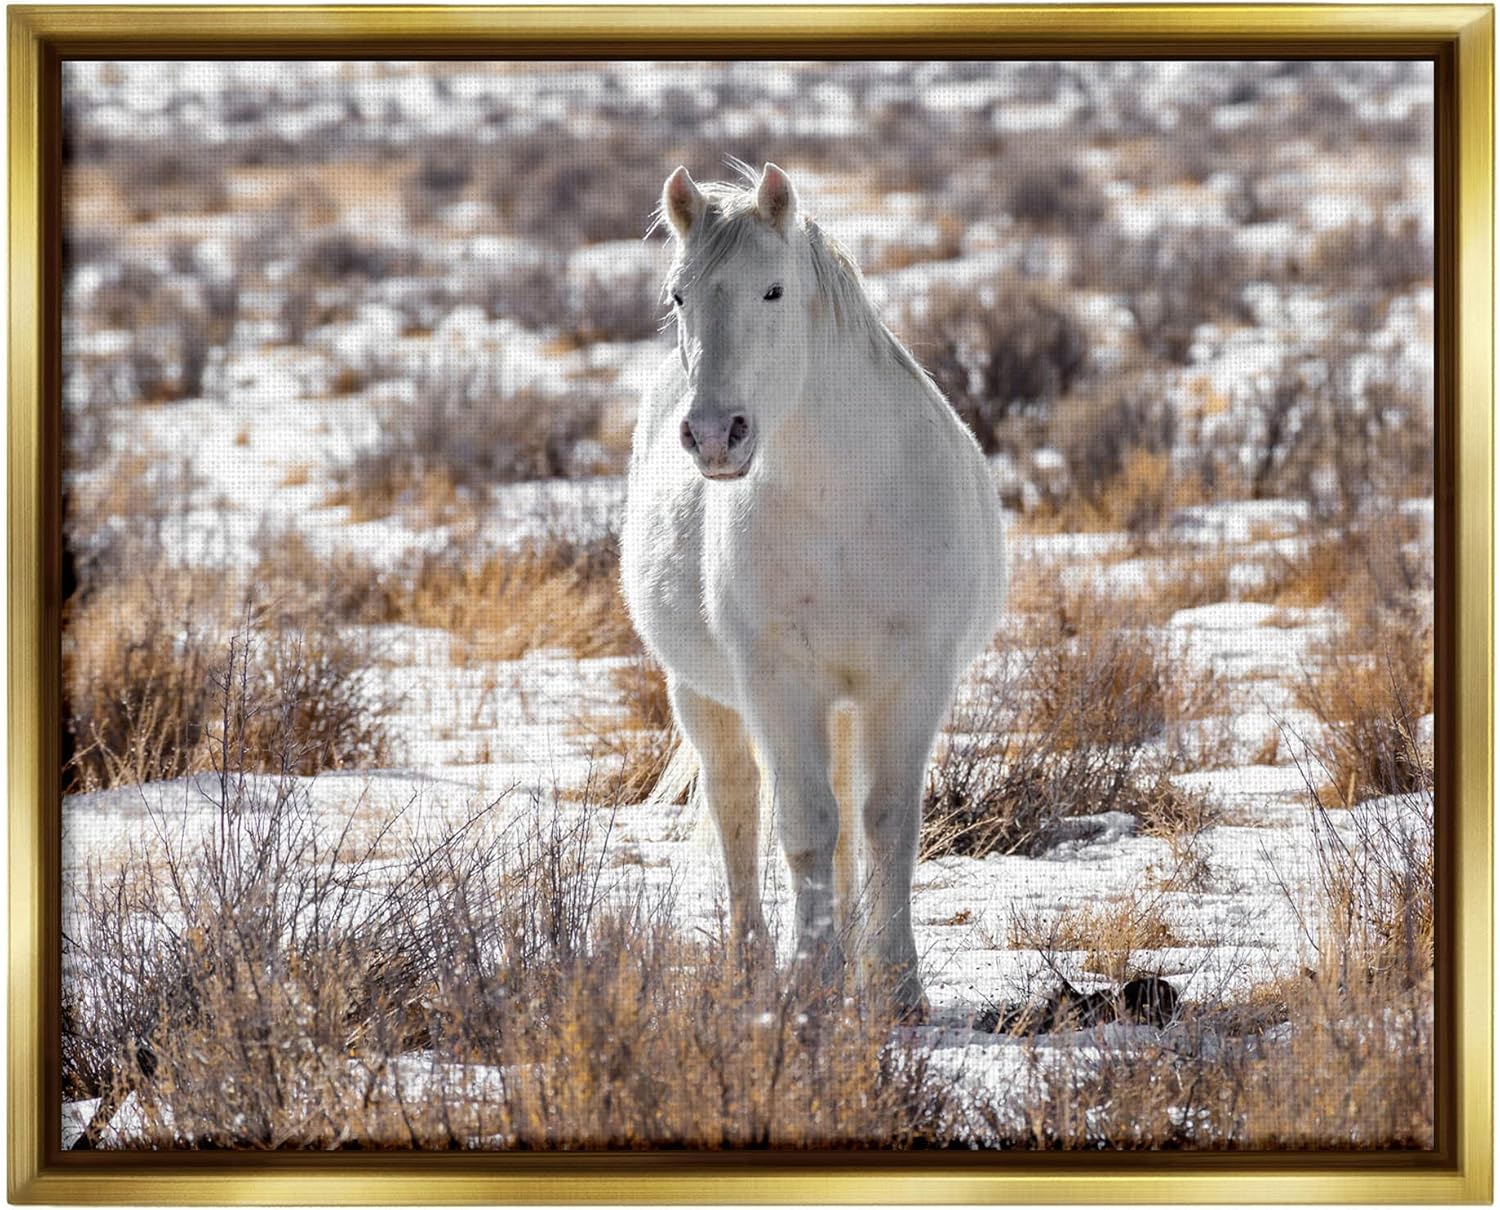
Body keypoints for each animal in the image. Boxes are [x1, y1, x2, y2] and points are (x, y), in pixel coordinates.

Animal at [621, 161, 1006, 1018]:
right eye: (677, 295)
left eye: (773, 290)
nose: (714, 435)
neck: (845, 505)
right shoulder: (777, 683)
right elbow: (802, 826)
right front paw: (811, 984)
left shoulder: (911, 680)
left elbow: (886, 822)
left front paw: (895, 987)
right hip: (706, 696)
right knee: (737, 806)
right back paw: (752, 963)